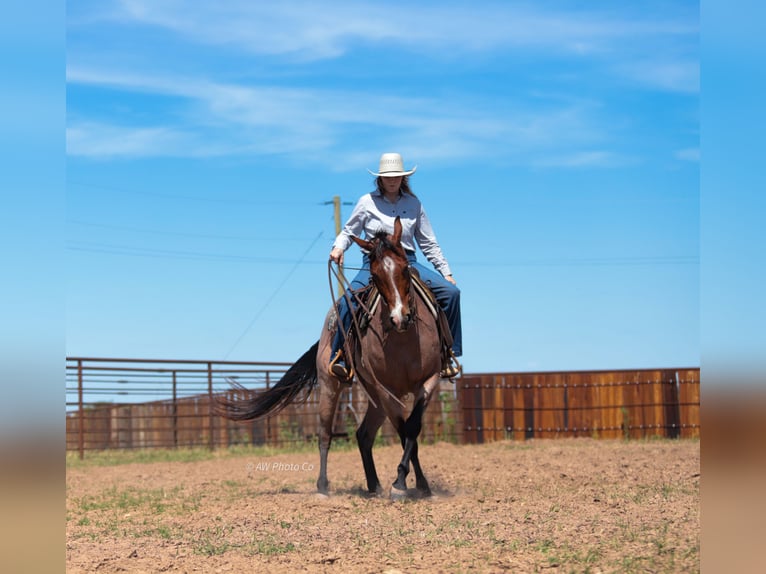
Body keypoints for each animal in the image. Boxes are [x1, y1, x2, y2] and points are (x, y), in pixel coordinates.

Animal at [215, 216, 443, 498]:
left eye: (404, 269)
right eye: (375, 276)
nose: (399, 318)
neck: (403, 340)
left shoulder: (429, 380)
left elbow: (412, 430)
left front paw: (420, 485)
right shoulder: (387, 389)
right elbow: (403, 432)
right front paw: (400, 484)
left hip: (374, 396)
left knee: (364, 434)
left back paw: (374, 486)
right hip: (332, 386)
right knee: (325, 434)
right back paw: (323, 487)